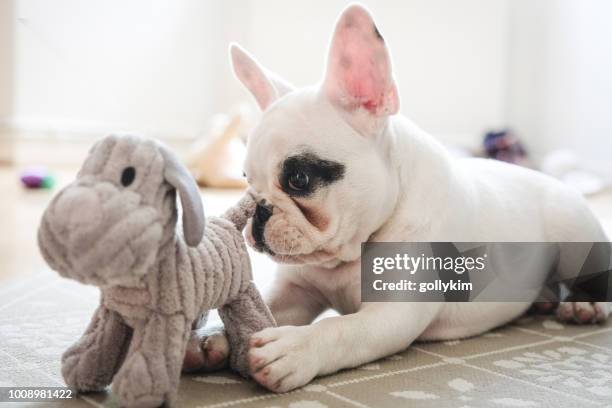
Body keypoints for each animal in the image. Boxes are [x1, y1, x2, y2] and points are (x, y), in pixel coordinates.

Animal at [184, 3, 608, 392]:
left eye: (299, 178)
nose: (259, 211)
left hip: (574, 232)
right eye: (246, 180)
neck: (353, 250)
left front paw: (293, 348)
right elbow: (267, 307)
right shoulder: (296, 293)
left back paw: (584, 303)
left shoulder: (392, 314)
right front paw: (211, 336)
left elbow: (341, 330)